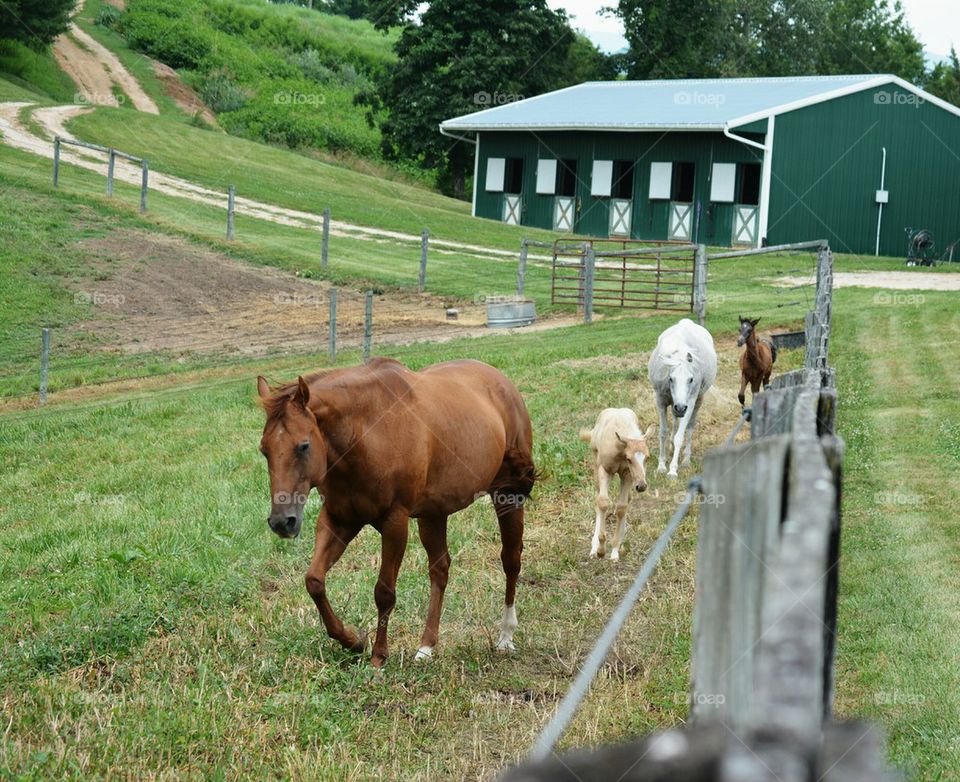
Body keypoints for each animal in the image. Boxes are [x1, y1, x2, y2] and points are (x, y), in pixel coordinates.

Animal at [256, 358, 540, 672]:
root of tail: (502, 382)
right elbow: (314, 581)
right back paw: (426, 647)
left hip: (507, 496)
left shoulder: (395, 522)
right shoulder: (339, 519)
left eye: (304, 446)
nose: (282, 521)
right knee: (440, 570)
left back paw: (505, 637)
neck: (367, 433)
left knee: (511, 561)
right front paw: (352, 640)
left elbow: (384, 592)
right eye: (264, 450)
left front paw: (378, 657)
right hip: (433, 515)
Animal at [576, 414, 652, 560]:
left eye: (647, 458)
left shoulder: (627, 475)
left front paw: (615, 550)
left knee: (627, 500)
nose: (641, 486)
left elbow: (622, 507)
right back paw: (594, 548)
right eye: (629, 459)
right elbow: (603, 503)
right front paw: (600, 550)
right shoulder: (604, 470)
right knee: (598, 499)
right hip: (596, 467)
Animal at [648, 318, 716, 478]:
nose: (680, 408)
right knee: (674, 422)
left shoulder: (689, 403)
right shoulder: (661, 400)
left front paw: (673, 470)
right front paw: (661, 465)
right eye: (671, 378)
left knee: (689, 428)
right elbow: (663, 433)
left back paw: (685, 460)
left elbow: (680, 435)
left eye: (691, 379)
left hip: (697, 402)